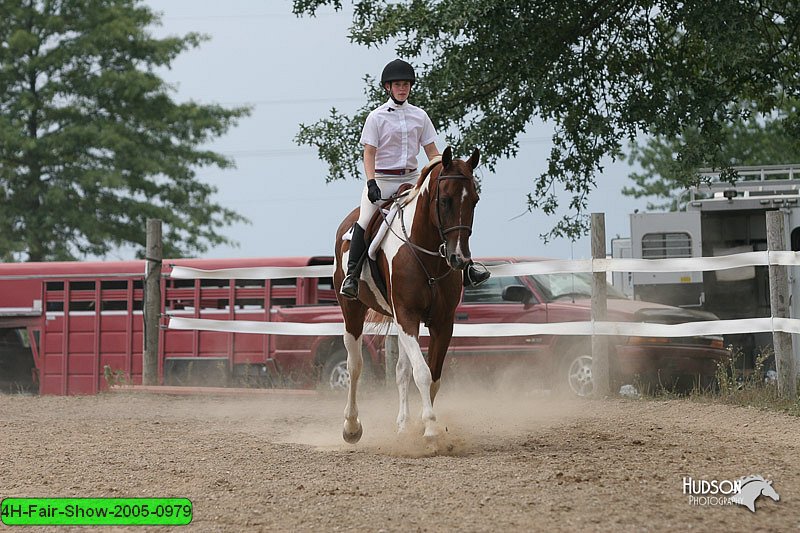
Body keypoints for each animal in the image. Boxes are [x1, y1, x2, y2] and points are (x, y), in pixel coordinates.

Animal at [332, 144, 482, 440]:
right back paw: (352, 427)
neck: (427, 255)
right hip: (352, 311)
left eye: (475, 200)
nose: (459, 258)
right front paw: (432, 429)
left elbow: (432, 376)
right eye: (445, 200)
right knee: (355, 365)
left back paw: (402, 425)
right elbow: (422, 373)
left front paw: (421, 427)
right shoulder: (407, 316)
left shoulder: (442, 322)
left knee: (401, 370)